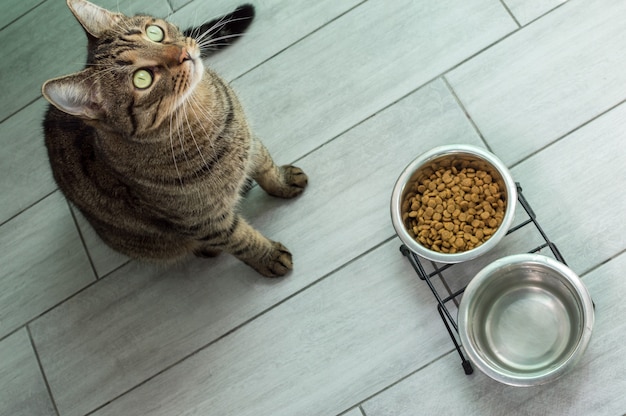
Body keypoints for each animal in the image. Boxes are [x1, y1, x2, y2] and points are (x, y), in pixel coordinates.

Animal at [41, 0, 308, 276]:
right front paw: (269, 257)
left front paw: (283, 181)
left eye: (154, 32)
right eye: (142, 78)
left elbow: (266, 167)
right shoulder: (204, 222)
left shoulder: (249, 139)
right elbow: (241, 241)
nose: (183, 53)